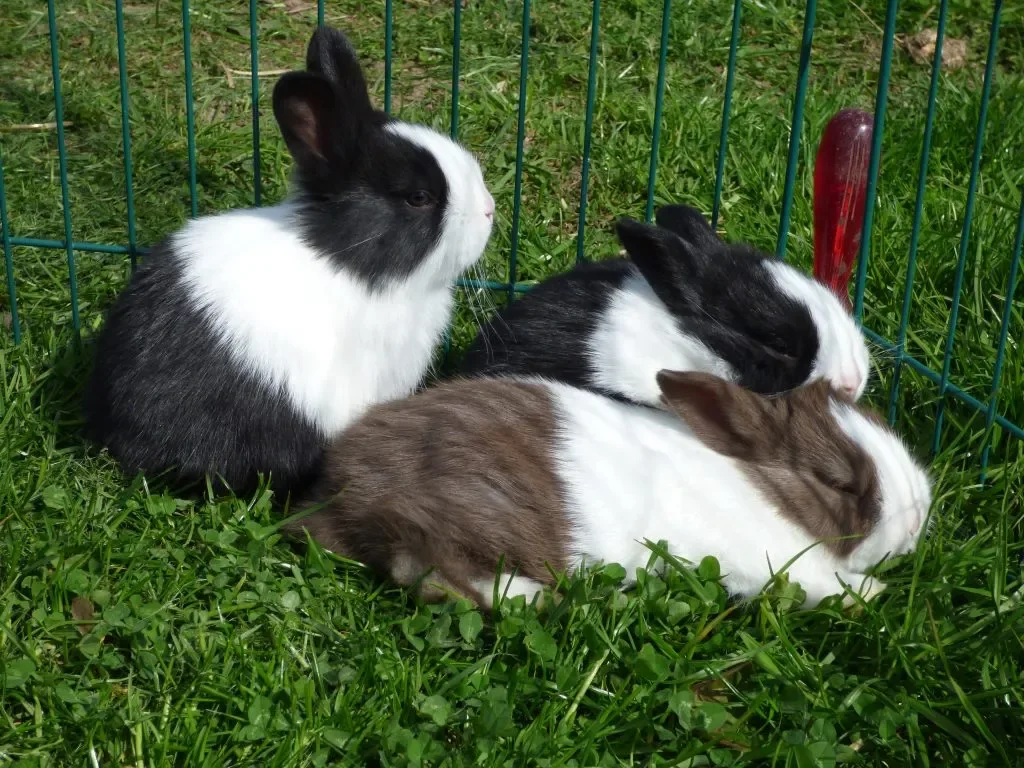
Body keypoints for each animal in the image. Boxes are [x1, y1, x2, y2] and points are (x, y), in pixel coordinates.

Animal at [289, 370, 932, 609]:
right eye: (837, 481)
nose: (917, 520)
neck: (758, 487)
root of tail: (341, 493)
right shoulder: (771, 564)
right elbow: (824, 584)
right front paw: (871, 592)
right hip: (468, 515)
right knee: (427, 567)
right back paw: (535, 597)